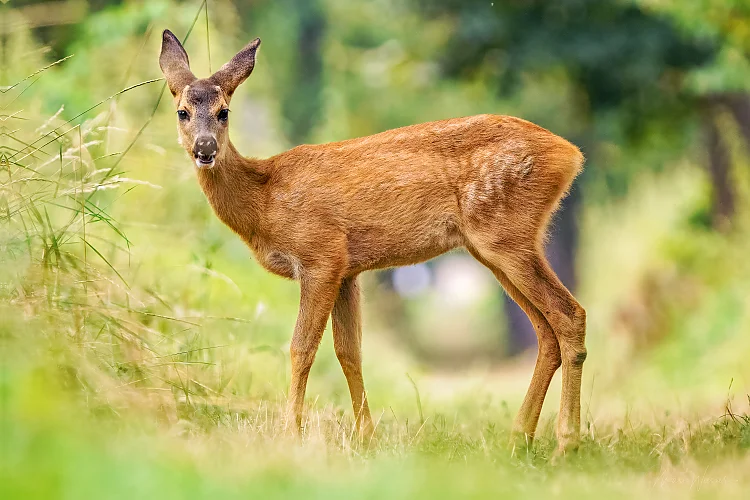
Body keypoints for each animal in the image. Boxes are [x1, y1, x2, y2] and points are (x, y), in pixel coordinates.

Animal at [159, 30, 587, 453]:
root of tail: (570, 154)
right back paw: (521, 436)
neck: (264, 199)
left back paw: (566, 442)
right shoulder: (347, 270)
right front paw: (366, 436)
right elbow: (349, 352)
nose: (205, 149)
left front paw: (291, 434)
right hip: (494, 248)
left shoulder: (321, 255)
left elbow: (301, 347)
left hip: (506, 233)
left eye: (223, 112)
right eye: (182, 112)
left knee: (570, 315)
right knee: (545, 329)